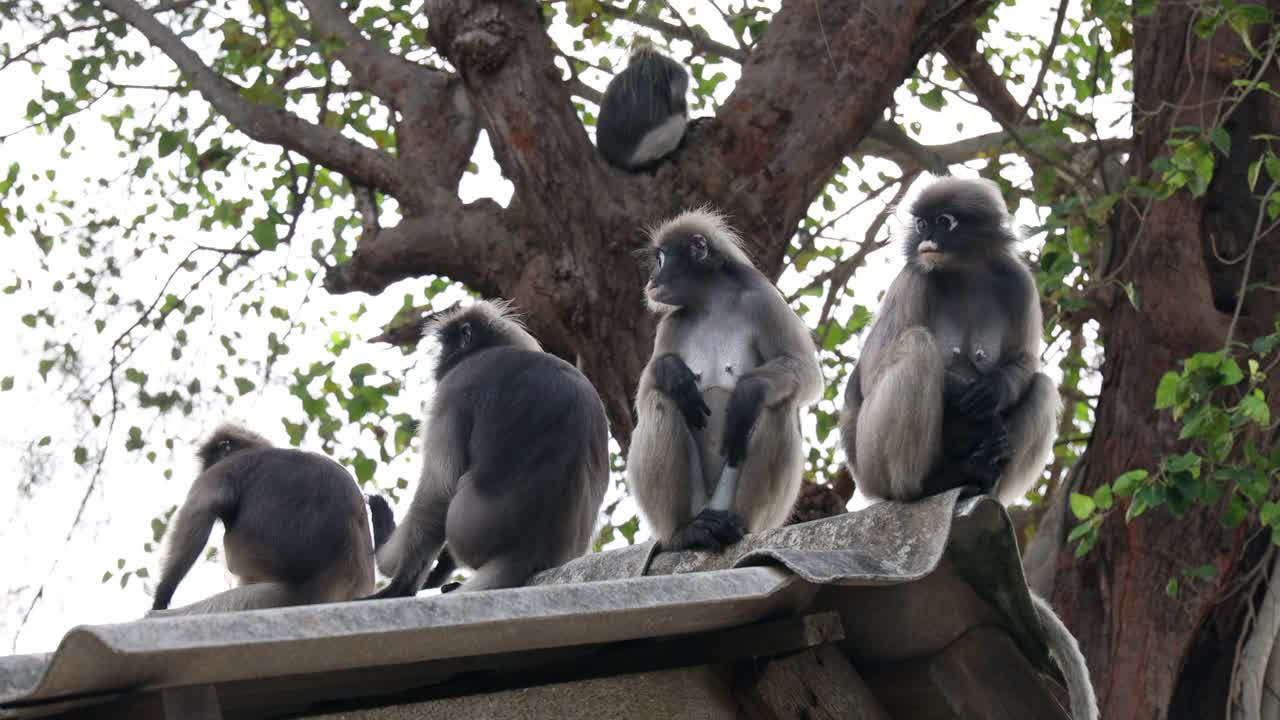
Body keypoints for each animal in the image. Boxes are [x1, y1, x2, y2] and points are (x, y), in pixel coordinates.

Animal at [371, 299, 609, 597]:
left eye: (446, 345)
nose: (439, 361)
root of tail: (530, 550)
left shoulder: (453, 388)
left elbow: (438, 490)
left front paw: (400, 583)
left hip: (466, 529)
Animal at [627, 206, 824, 548]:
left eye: (662, 259)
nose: (652, 279)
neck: (713, 303)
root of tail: (711, 508)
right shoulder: (672, 321)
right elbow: (645, 391)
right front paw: (673, 373)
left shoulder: (763, 299)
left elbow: (806, 370)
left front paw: (747, 392)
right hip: (696, 502)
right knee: (660, 398)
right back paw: (685, 532)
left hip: (733, 496)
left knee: (778, 403)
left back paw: (738, 527)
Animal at [839, 175, 1100, 717]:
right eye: (921, 224)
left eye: (945, 223)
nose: (926, 239)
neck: (963, 273)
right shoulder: (914, 278)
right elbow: (870, 374)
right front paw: (964, 405)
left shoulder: (1016, 281)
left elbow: (1023, 363)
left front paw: (993, 391)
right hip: (871, 463)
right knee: (915, 346)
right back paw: (929, 483)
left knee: (1042, 384)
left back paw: (978, 476)